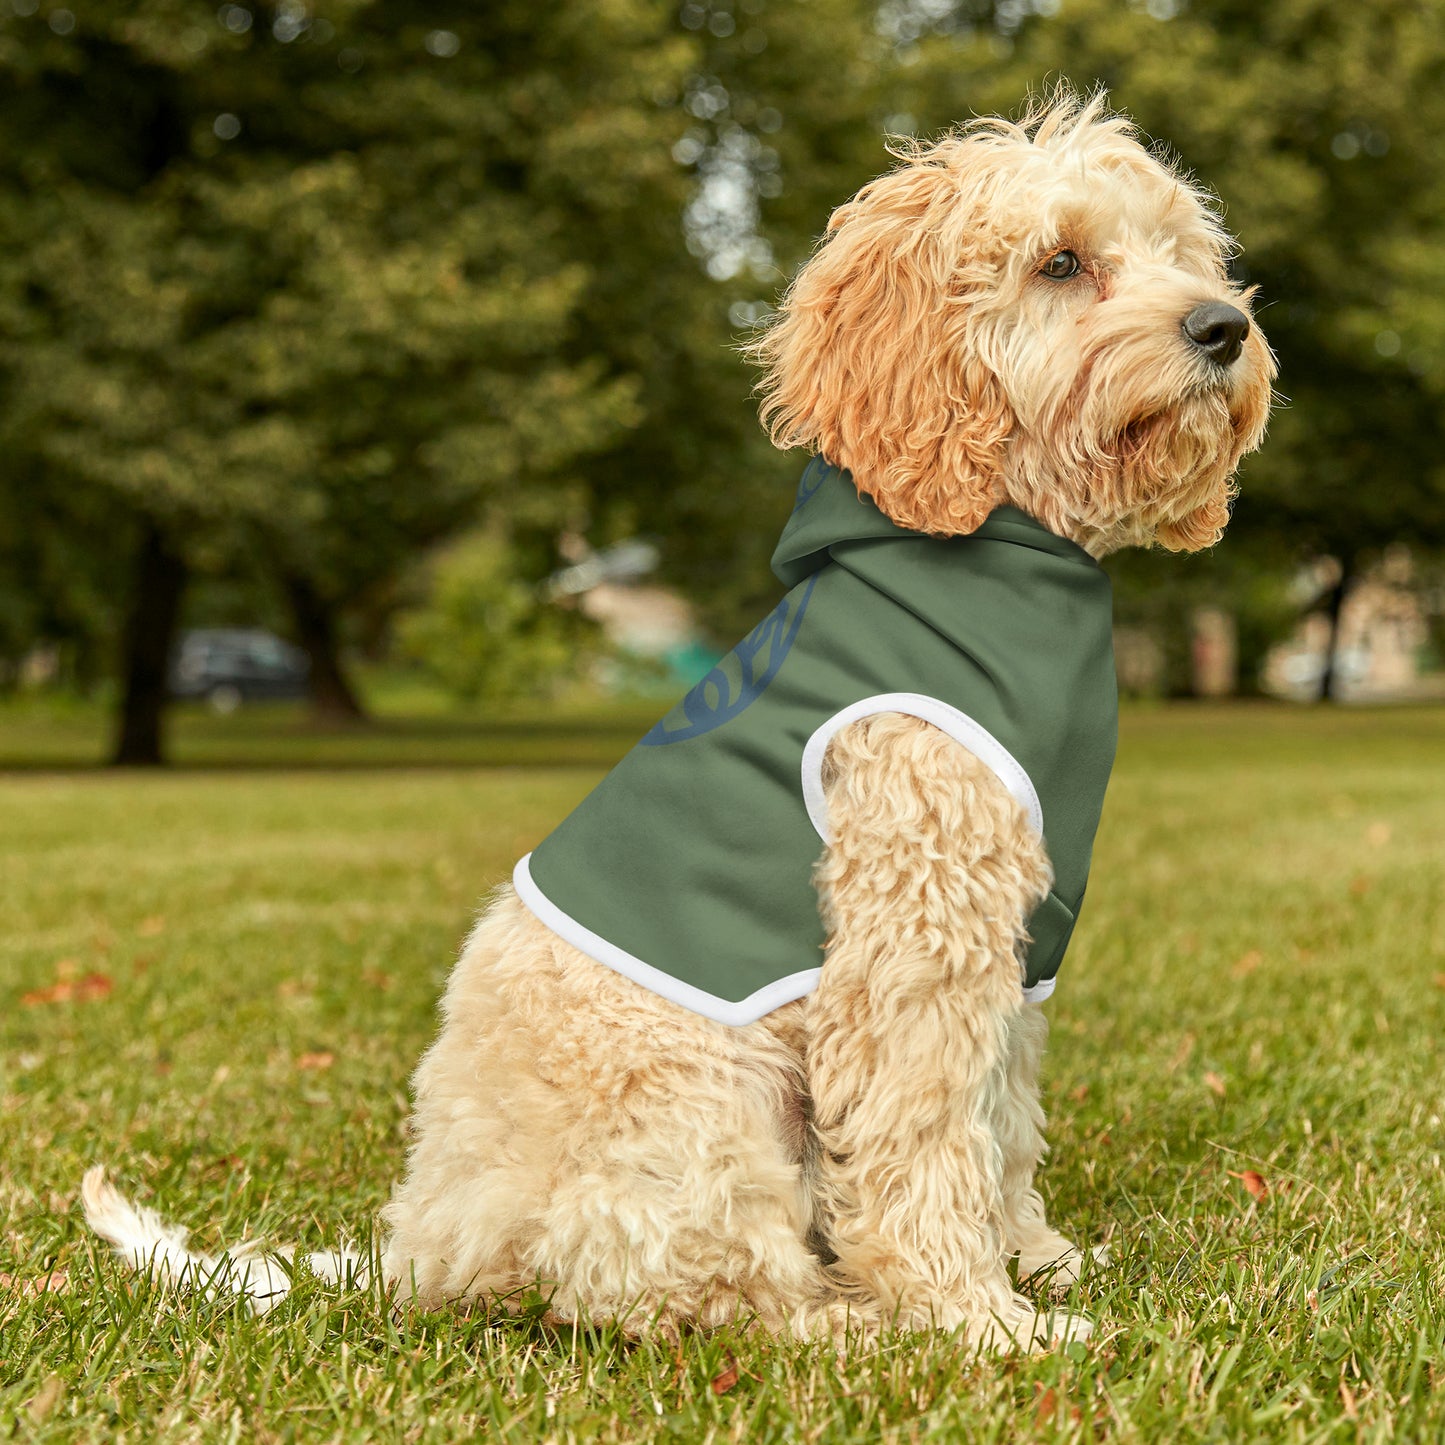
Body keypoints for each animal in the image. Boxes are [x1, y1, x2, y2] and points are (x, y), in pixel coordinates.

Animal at [84, 96, 1271, 1346]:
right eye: (1060, 262)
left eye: (1180, 252)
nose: (1222, 326)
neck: (997, 546)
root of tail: (422, 1247)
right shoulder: (913, 936)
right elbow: (925, 1137)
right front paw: (976, 1318)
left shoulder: (1015, 943)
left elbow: (1000, 1120)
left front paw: (1034, 1259)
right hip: (704, 1104)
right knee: (698, 1287)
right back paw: (848, 1319)